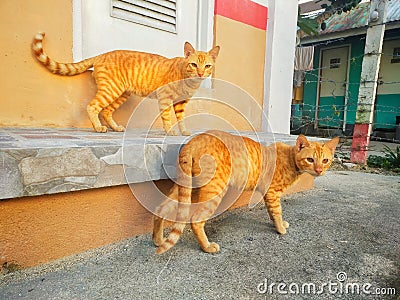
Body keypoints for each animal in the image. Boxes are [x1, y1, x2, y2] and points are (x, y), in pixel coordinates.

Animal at [31, 32, 220, 134]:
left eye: (207, 66)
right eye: (194, 64)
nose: (201, 73)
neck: (189, 82)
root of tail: (102, 54)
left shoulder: (181, 103)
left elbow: (181, 119)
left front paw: (183, 131)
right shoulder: (165, 98)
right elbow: (167, 118)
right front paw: (170, 131)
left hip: (121, 93)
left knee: (106, 111)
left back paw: (115, 128)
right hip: (111, 90)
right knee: (93, 106)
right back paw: (98, 127)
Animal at [152, 131, 338, 253]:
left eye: (325, 160)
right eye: (310, 159)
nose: (320, 170)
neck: (290, 159)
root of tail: (193, 141)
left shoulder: (269, 195)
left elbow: (272, 213)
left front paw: (277, 225)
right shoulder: (272, 193)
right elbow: (277, 212)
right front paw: (280, 229)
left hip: (183, 187)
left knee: (160, 209)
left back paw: (158, 240)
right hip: (213, 190)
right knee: (195, 219)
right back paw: (207, 247)